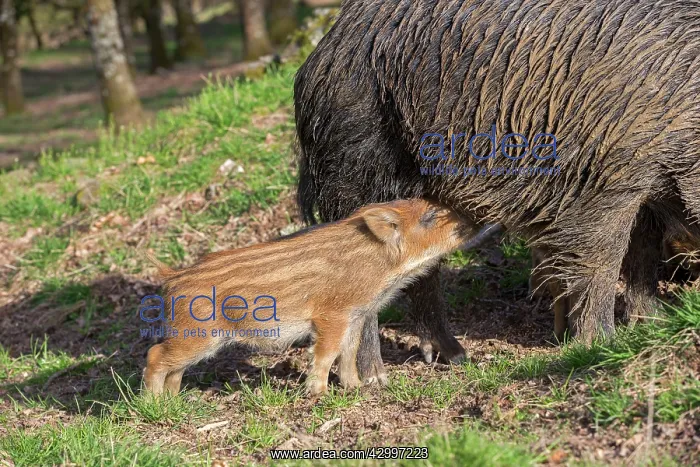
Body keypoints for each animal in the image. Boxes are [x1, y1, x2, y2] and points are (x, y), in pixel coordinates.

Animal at [142, 199, 475, 396]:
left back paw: (174, 401)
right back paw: (153, 404)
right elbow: (327, 353)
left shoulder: (356, 316)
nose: (471, 220)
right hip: (198, 335)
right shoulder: (331, 316)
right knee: (155, 355)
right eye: (430, 216)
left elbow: (349, 352)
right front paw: (319, 394)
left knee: (175, 367)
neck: (379, 266)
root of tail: (172, 277)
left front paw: (355, 388)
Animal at [294, 0, 700, 383]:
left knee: (424, 270)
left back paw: (457, 357)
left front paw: (656, 321)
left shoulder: (645, 191)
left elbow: (641, 255)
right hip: (358, 169)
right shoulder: (605, 183)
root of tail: (323, 51)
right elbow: (602, 261)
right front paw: (601, 345)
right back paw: (376, 380)